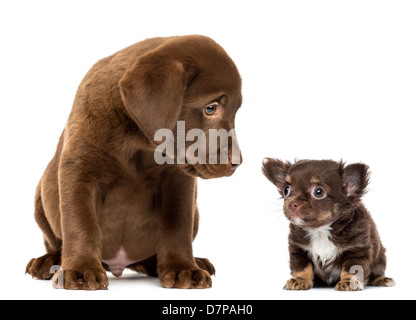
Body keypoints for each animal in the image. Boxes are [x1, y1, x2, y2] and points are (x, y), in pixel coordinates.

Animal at [26, 35, 242, 290]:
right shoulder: (78, 170)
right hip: (41, 199)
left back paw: (189, 262)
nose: (238, 161)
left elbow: (178, 224)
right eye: (210, 108)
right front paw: (81, 269)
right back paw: (47, 262)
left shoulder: (177, 180)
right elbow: (80, 222)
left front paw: (183, 268)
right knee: (54, 242)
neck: (138, 145)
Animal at [262, 159, 394, 292]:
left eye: (318, 192)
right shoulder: (298, 249)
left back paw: (382, 279)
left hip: (380, 259)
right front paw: (299, 280)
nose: (291, 204)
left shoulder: (357, 249)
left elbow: (352, 269)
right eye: (286, 190)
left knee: (377, 271)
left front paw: (348, 282)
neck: (320, 230)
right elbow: (301, 267)